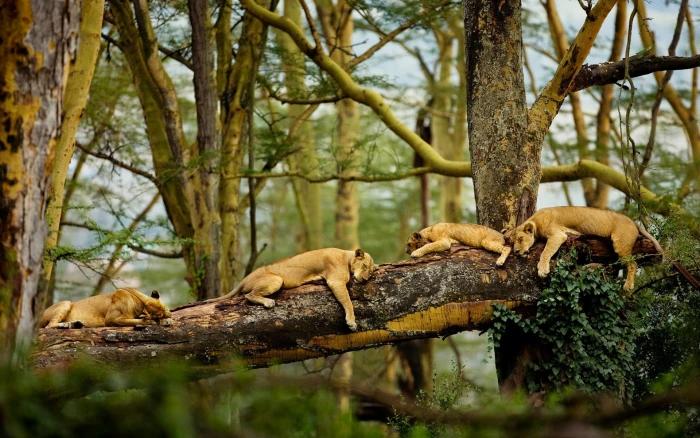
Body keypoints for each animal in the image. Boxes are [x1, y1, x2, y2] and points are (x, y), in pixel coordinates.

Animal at [40, 288, 173, 329]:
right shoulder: (111, 320)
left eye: (166, 309)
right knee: (49, 326)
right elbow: (137, 321)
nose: (170, 315)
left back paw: (74, 324)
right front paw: (153, 321)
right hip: (66, 303)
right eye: (159, 315)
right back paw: (67, 325)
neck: (139, 301)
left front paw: (167, 320)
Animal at [207, 248, 375, 331]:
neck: (347, 257)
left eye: (371, 271)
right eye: (364, 266)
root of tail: (244, 279)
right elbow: (349, 303)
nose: (365, 279)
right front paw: (351, 322)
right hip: (276, 280)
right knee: (248, 295)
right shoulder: (336, 281)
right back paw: (268, 302)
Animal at [504, 206, 664, 292]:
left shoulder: (558, 235)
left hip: (621, 244)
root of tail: (633, 221)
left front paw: (542, 269)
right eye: (512, 242)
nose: (516, 251)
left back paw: (628, 286)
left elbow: (545, 252)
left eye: (520, 239)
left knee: (633, 264)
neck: (535, 221)